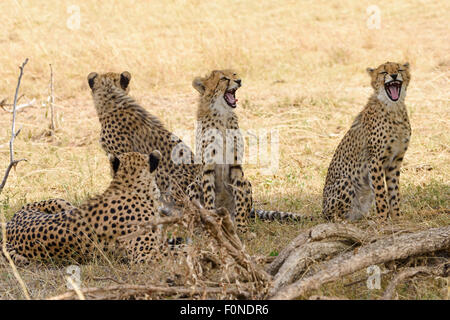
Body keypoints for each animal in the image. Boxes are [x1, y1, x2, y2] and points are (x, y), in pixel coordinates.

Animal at [324, 62, 412, 222]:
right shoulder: (375, 160)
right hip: (345, 182)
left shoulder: (395, 160)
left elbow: (394, 192)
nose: (394, 75)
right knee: (334, 217)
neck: (394, 108)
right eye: (384, 72)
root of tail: (322, 210)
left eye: (399, 69)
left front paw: (397, 218)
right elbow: (381, 193)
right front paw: (383, 219)